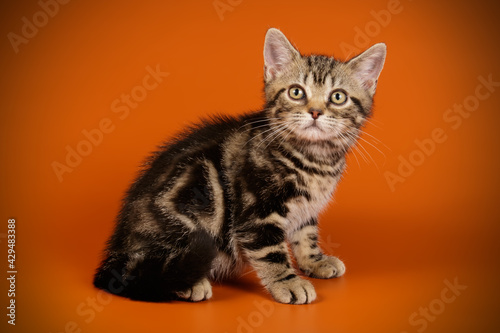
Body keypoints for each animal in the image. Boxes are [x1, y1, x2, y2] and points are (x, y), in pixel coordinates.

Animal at [94, 27, 386, 304]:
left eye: (338, 97)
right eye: (296, 92)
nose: (315, 112)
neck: (315, 160)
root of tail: (117, 248)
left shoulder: (306, 209)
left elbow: (306, 235)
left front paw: (315, 261)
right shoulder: (256, 214)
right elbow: (271, 252)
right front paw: (288, 282)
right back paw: (188, 283)